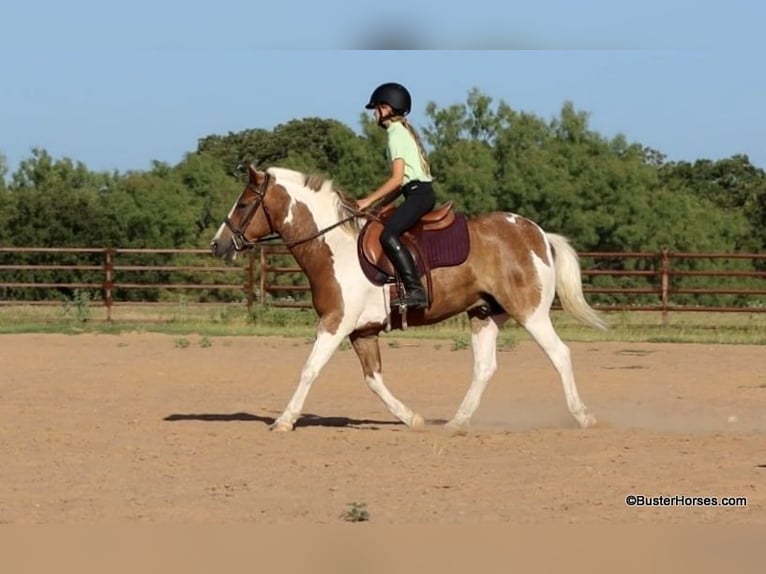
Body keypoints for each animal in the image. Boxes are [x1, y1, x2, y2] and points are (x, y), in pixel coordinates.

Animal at [210, 165, 607, 433]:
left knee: (560, 354)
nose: (218, 245)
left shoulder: (335, 322)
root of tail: (536, 233)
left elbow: (310, 368)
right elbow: (373, 379)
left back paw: (584, 416)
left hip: (530, 313)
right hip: (484, 314)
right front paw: (412, 418)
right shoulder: (362, 331)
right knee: (484, 367)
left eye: (243, 204)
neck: (332, 244)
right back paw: (456, 422)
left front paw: (284, 420)